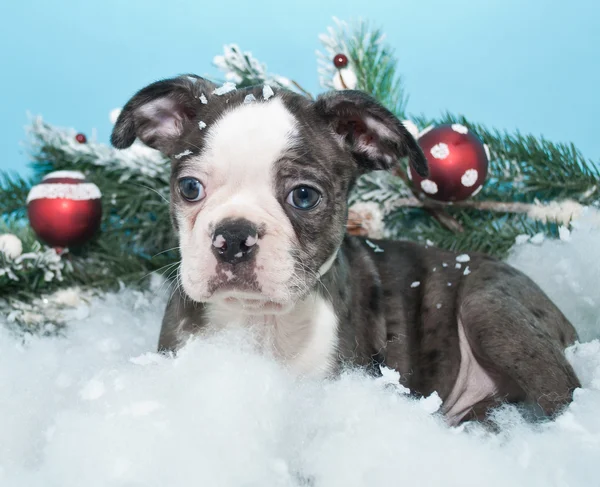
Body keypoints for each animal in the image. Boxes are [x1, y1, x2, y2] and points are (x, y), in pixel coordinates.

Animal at [110, 74, 580, 426]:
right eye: (190, 188)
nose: (234, 236)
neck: (258, 321)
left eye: (304, 196)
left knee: (562, 393)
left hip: (489, 307)